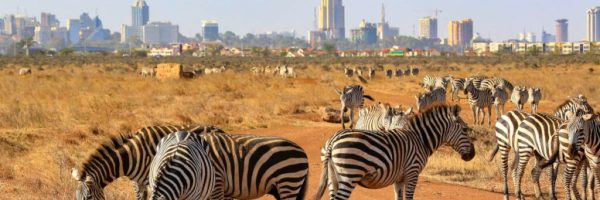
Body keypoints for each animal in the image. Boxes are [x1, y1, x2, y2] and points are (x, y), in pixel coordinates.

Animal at [312, 104, 476, 200]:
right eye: (465, 129)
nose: (472, 155)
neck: (420, 139)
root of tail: (333, 140)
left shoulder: (399, 178)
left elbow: (399, 197)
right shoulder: (412, 173)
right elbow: (409, 198)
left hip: (332, 176)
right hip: (349, 174)